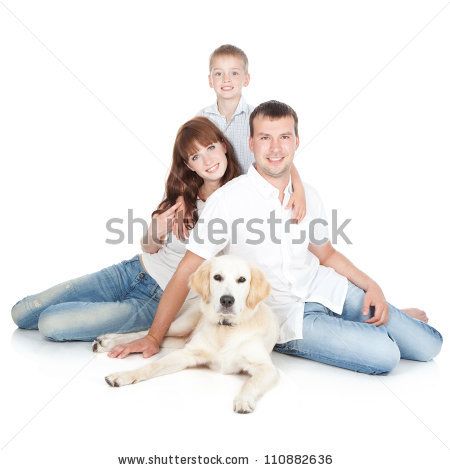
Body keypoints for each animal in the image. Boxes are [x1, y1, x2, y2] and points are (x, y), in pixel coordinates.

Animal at [93, 255, 280, 414]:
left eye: (242, 280)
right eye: (217, 277)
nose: (227, 300)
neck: (226, 328)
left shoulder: (267, 368)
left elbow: (251, 383)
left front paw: (243, 400)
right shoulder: (187, 354)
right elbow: (152, 366)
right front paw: (124, 375)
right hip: (182, 324)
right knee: (147, 333)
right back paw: (107, 341)